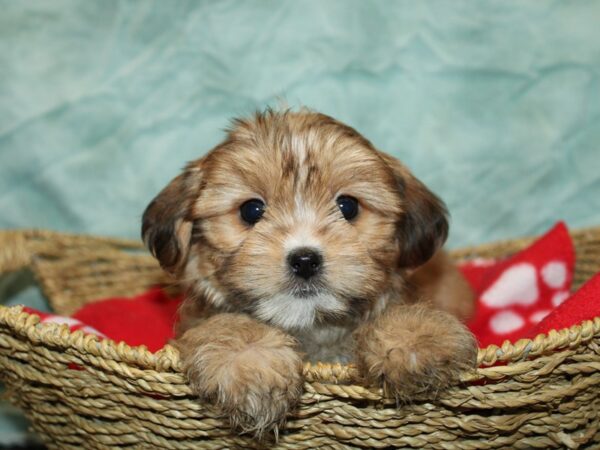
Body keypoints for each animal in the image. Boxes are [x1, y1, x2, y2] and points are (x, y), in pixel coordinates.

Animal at [143, 109, 476, 436]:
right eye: (251, 210)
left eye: (348, 206)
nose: (304, 260)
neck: (312, 326)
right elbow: (228, 324)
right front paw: (251, 361)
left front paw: (415, 338)